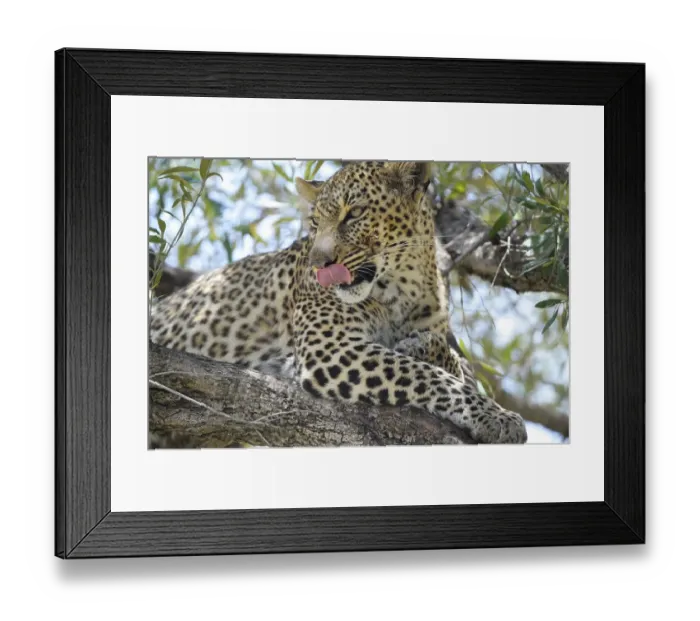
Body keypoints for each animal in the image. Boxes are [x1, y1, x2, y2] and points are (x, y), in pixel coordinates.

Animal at [149, 161, 527, 444]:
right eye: (316, 222)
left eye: (355, 213)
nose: (320, 264)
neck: (405, 288)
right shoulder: (328, 347)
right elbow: (428, 375)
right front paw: (498, 417)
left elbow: (455, 364)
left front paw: (418, 346)